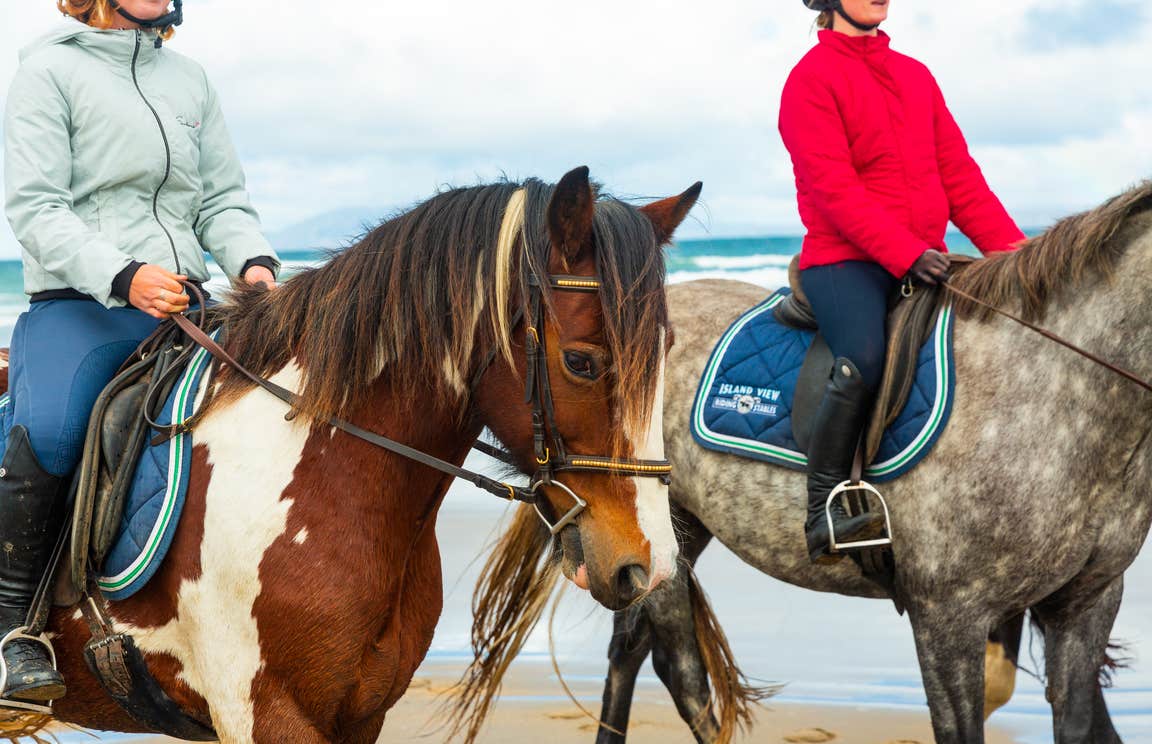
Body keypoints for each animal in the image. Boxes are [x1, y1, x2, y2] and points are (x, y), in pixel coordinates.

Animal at [459, 181, 1152, 744]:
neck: (1049, 384)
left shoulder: (1085, 605)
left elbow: (1078, 721)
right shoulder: (949, 616)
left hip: (663, 536)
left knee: (629, 651)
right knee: (677, 669)